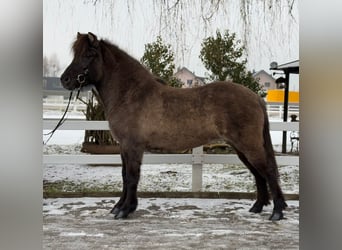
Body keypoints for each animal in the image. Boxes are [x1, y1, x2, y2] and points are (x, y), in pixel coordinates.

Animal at [60, 31, 286, 221]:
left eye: (89, 54)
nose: (65, 80)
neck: (131, 94)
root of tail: (255, 97)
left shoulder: (132, 147)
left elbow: (132, 177)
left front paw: (125, 210)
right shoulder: (124, 148)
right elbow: (124, 176)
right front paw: (119, 207)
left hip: (249, 146)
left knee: (267, 171)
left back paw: (276, 212)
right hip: (241, 148)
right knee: (258, 174)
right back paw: (257, 207)